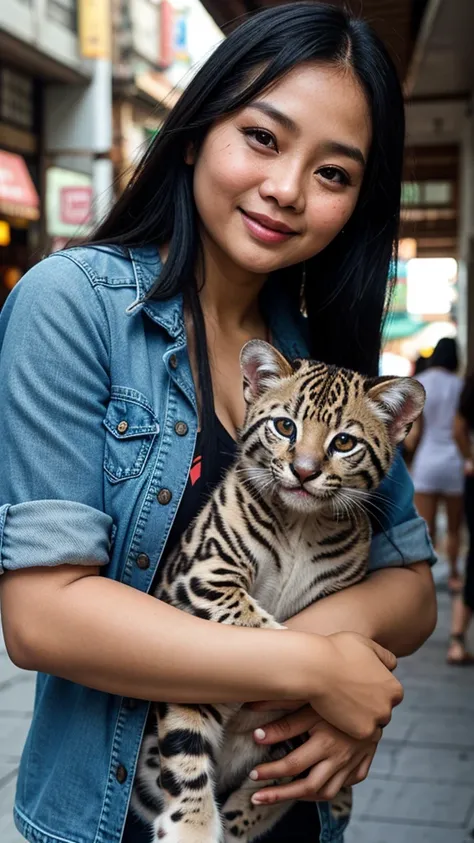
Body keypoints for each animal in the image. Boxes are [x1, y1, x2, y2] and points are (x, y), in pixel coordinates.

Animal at [131, 340, 426, 840]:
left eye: (343, 442)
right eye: (286, 426)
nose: (304, 471)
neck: (300, 524)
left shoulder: (341, 590)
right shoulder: (207, 570)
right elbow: (262, 625)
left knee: (274, 785)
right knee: (187, 751)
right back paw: (194, 824)